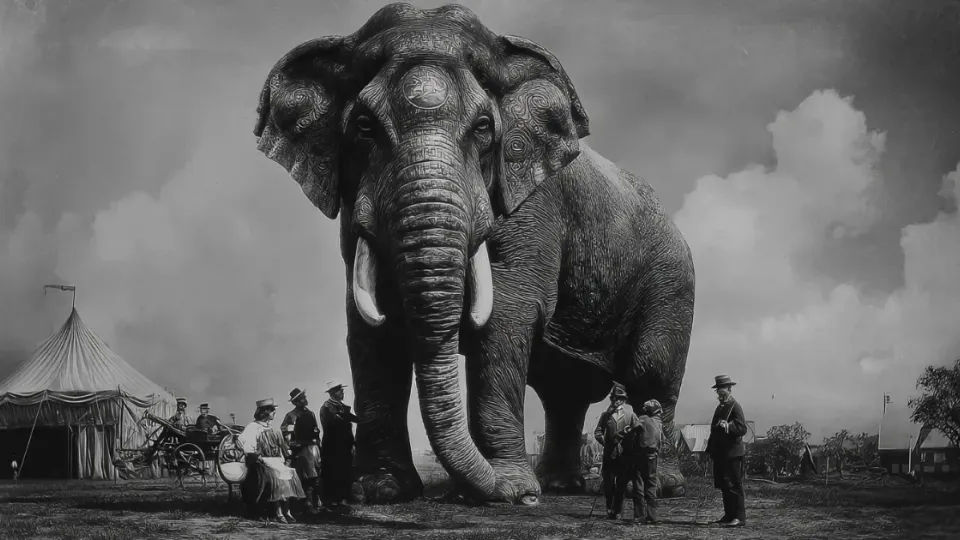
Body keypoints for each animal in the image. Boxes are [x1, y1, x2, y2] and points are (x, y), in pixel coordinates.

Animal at [252, 3, 696, 506]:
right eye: (363, 127)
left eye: (484, 128)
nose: (509, 495)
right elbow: (370, 324)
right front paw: (381, 491)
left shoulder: (533, 208)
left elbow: (504, 317)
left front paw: (510, 491)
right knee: (564, 393)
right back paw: (559, 485)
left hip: (671, 282)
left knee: (650, 372)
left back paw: (659, 485)